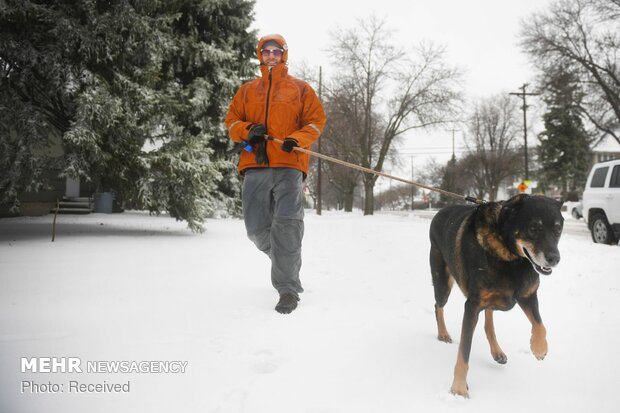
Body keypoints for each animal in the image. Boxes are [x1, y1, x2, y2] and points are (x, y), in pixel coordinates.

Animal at [428, 195, 564, 398]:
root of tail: (440, 211)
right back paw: (443, 334)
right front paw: (458, 389)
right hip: (442, 283)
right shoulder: (472, 306)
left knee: (488, 321)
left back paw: (497, 352)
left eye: (558, 228)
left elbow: (540, 325)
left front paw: (539, 348)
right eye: (533, 228)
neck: (511, 257)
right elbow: (464, 352)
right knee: (438, 306)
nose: (554, 259)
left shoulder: (528, 295)